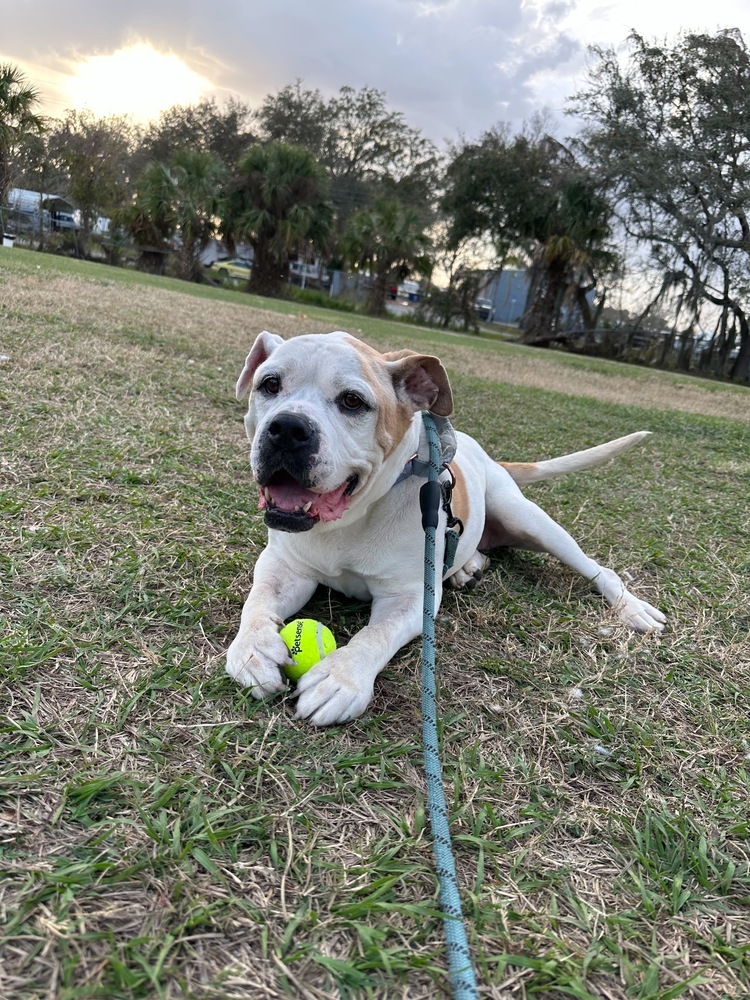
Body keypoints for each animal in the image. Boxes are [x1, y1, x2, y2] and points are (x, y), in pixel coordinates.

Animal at [226, 332, 668, 724]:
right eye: (270, 384)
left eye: (352, 401)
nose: (288, 428)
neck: (351, 520)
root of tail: (488, 456)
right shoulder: (285, 567)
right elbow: (258, 600)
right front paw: (253, 649)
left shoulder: (410, 600)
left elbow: (375, 635)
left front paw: (341, 678)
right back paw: (468, 566)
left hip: (527, 519)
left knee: (597, 569)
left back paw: (632, 608)